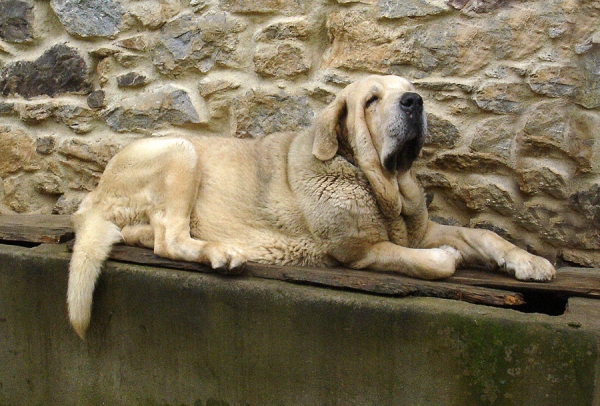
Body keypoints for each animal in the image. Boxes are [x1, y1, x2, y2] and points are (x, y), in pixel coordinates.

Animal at [68, 74, 556, 338]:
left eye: (409, 90)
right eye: (372, 100)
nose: (414, 101)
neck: (379, 184)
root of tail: (95, 192)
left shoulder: (421, 228)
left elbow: (484, 234)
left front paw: (529, 262)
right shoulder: (360, 251)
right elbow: (428, 262)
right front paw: (447, 259)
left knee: (150, 234)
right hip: (180, 149)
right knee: (169, 239)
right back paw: (220, 252)